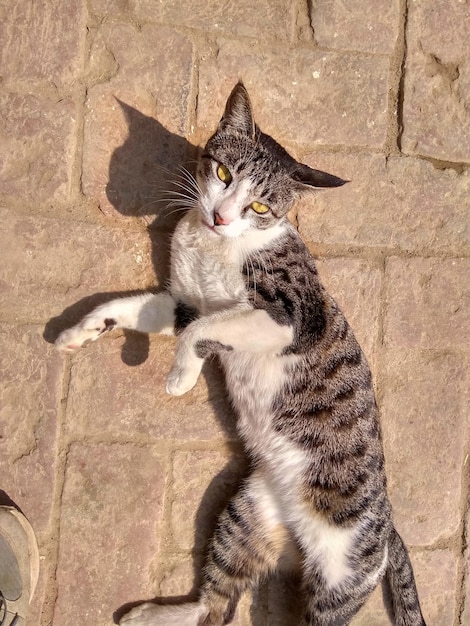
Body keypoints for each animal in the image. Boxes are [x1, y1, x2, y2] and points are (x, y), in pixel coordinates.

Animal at [55, 83, 426, 624]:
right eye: (224, 174)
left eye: (261, 208)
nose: (220, 216)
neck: (214, 246)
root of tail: (389, 528)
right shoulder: (185, 301)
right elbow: (133, 308)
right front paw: (77, 332)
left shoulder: (290, 319)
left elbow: (203, 330)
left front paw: (180, 377)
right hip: (247, 514)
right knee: (212, 607)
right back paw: (146, 614)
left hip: (339, 582)